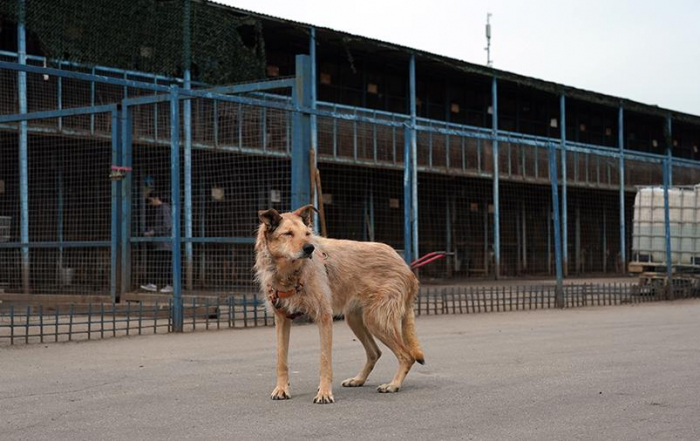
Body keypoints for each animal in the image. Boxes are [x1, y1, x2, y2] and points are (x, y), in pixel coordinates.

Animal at [254, 205, 424, 404]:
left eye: (307, 234)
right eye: (288, 233)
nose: (310, 248)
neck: (290, 274)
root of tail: (406, 267)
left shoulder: (324, 318)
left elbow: (325, 360)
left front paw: (324, 393)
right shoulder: (282, 319)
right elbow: (281, 360)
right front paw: (281, 389)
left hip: (376, 320)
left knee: (406, 356)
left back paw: (393, 385)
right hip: (356, 320)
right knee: (375, 352)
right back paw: (358, 380)